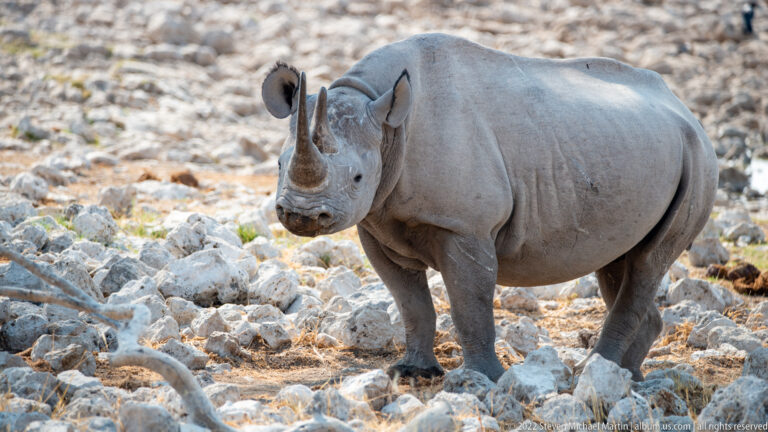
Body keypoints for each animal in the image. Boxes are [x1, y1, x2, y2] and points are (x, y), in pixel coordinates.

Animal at [261, 33, 718, 381]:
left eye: (357, 177)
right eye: (279, 165)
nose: (302, 216)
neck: (388, 124)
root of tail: (684, 108)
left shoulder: (464, 226)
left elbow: (470, 303)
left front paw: (482, 379)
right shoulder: (377, 221)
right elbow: (411, 302)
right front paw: (413, 373)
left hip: (698, 157)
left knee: (647, 262)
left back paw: (593, 373)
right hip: (636, 148)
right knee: (619, 262)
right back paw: (628, 377)